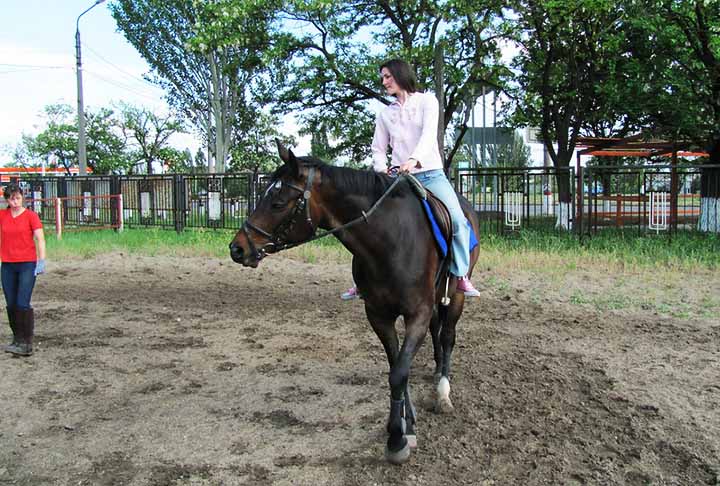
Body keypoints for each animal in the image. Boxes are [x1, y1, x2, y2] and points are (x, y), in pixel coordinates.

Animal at [231, 142, 478, 466]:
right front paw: (406, 425)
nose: (237, 248)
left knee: (448, 336)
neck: (389, 240)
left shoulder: (418, 314)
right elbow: (396, 368)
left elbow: (399, 372)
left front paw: (396, 439)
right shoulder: (378, 315)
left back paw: (443, 392)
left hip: (456, 294)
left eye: (278, 202)